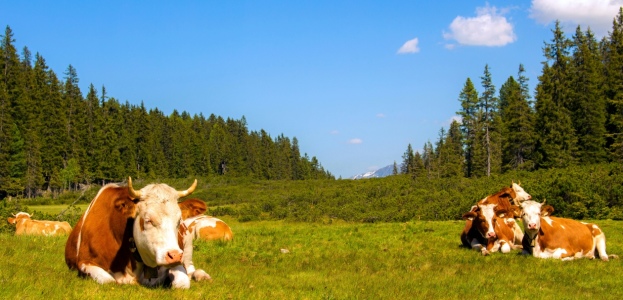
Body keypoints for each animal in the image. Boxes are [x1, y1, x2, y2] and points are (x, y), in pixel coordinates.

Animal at [65, 178, 197, 288]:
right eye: (148, 220)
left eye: (178, 220)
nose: (175, 255)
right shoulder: (84, 262)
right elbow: (109, 281)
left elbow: (182, 283)